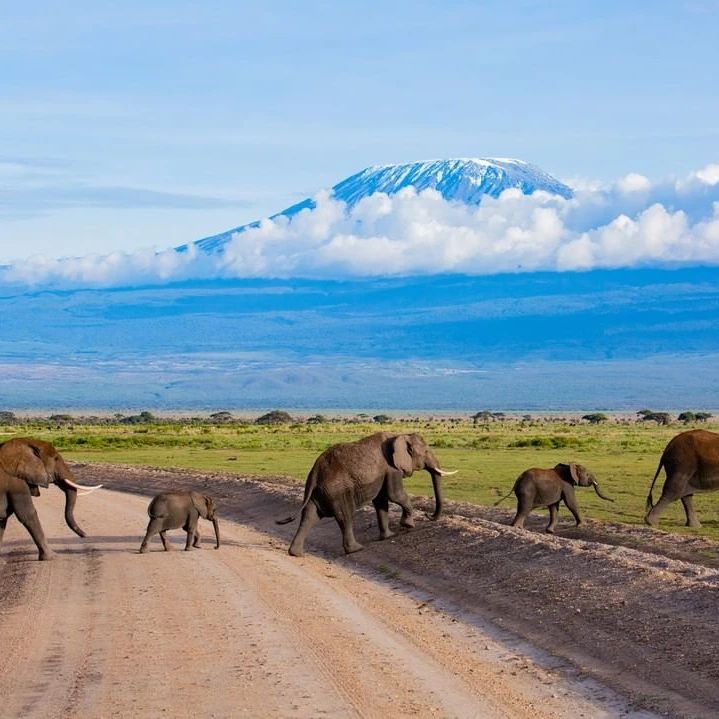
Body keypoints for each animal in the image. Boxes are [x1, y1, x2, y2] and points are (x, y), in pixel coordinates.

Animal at [276, 432, 456, 557]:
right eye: (426, 451)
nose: (428, 516)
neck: (400, 434)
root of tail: (315, 471)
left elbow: (382, 502)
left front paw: (389, 535)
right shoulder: (392, 469)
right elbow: (395, 495)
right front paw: (408, 526)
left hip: (319, 491)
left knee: (309, 516)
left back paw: (296, 553)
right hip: (337, 491)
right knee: (346, 517)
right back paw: (357, 549)